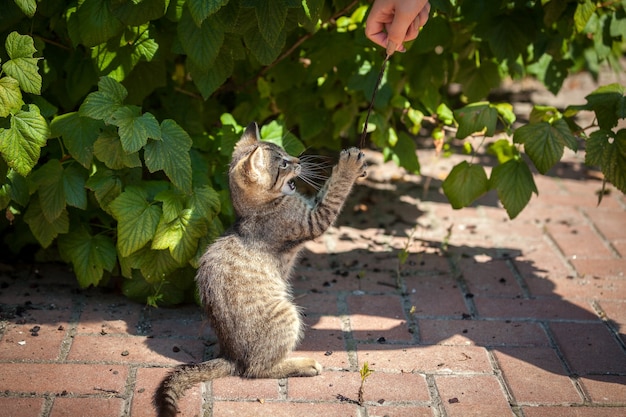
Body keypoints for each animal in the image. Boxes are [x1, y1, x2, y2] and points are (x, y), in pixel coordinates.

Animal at [155, 122, 366, 414]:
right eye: (284, 163)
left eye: (288, 154)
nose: (299, 160)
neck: (256, 210)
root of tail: (230, 355)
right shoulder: (313, 219)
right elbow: (334, 191)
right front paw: (348, 166)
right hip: (286, 314)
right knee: (255, 369)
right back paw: (303, 364)